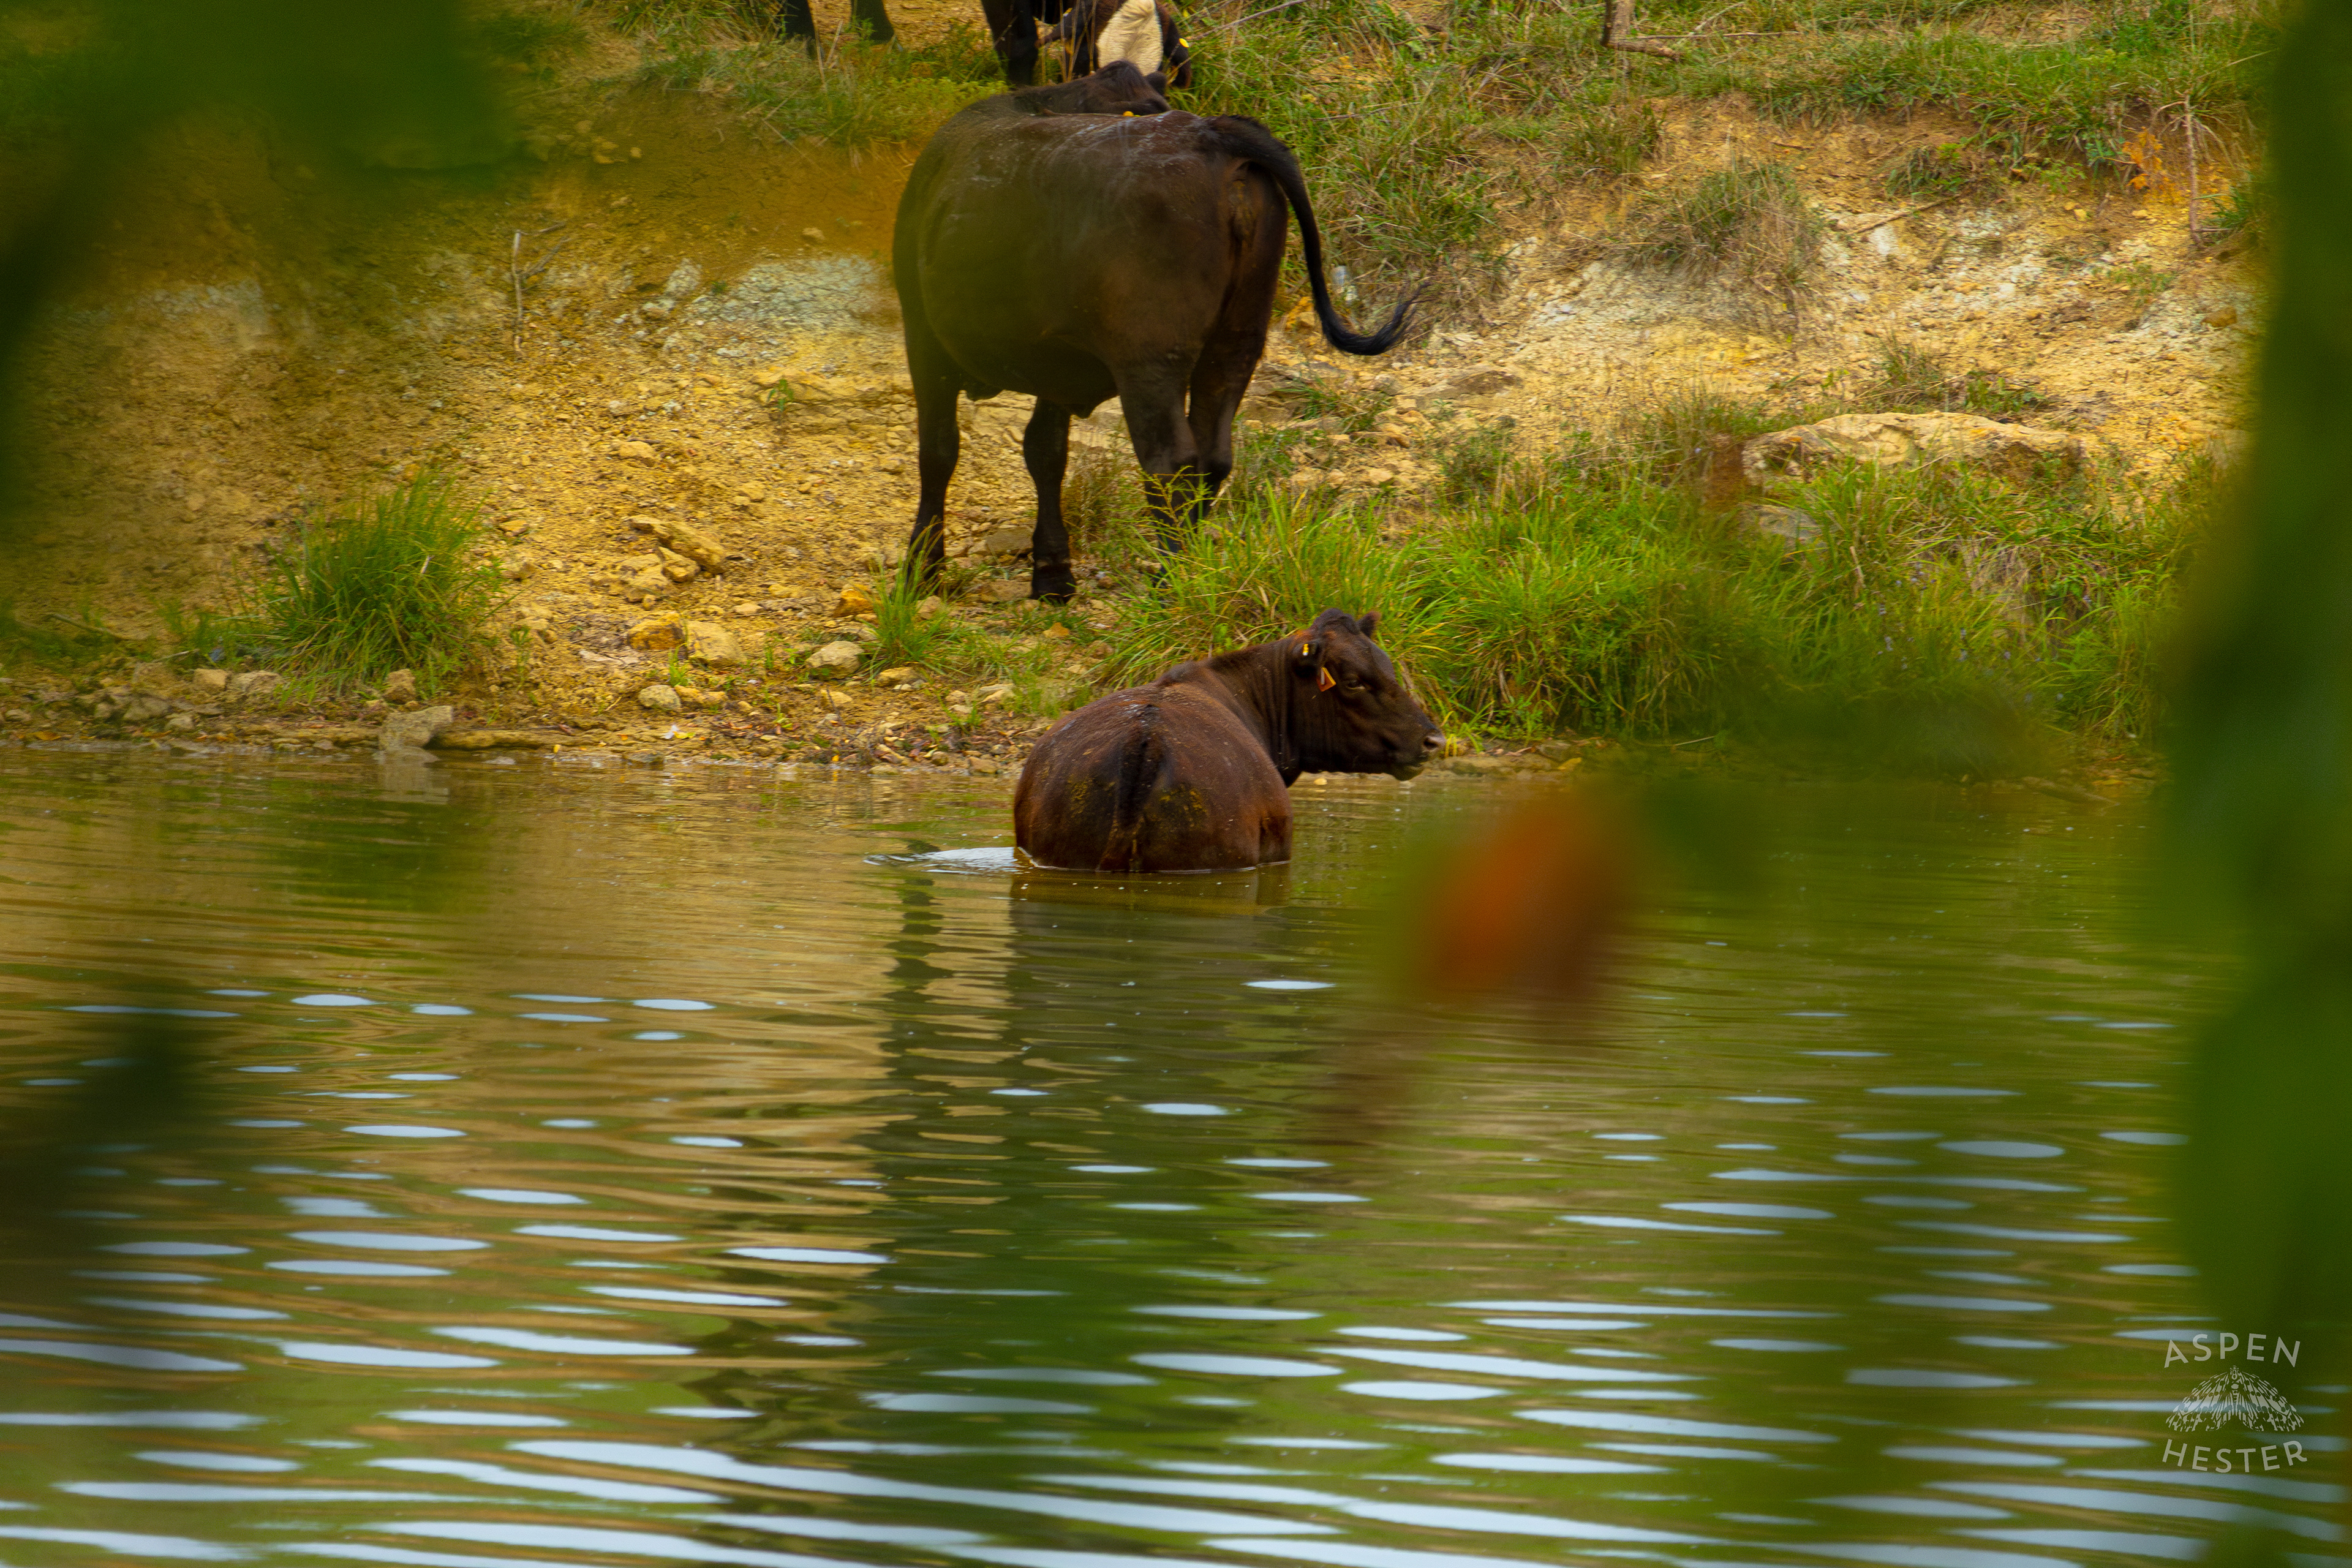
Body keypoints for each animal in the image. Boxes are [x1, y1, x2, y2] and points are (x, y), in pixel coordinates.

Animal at [893, 98, 1414, 602]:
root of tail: (1207, 132)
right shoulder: (1055, 365)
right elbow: (1045, 452)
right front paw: (1053, 573)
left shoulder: (923, 336)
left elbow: (939, 450)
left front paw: (922, 569)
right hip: (1236, 341)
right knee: (1214, 455)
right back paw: (1196, 571)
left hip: (1150, 360)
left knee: (1170, 461)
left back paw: (1172, 583)